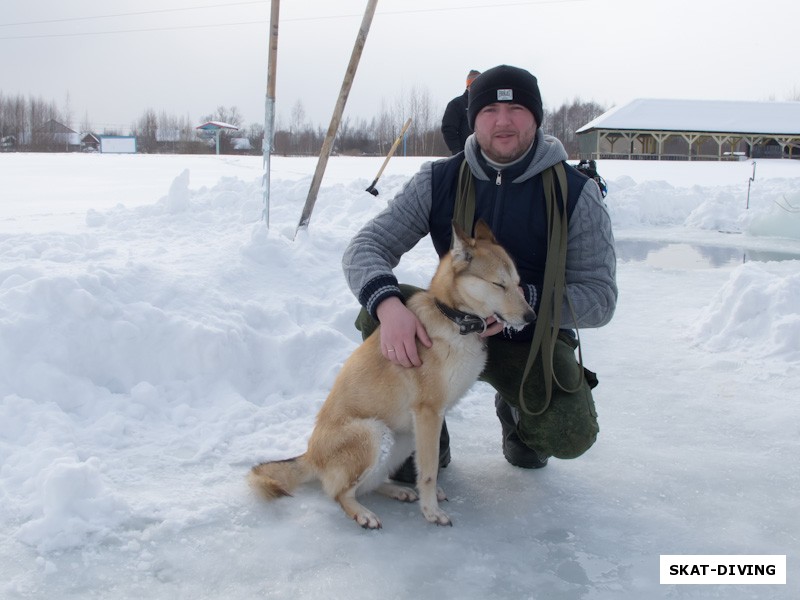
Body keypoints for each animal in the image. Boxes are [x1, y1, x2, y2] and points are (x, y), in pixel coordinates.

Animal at [248, 221, 536, 528]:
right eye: (499, 284)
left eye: (518, 283)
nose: (531, 317)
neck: (452, 319)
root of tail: (311, 456)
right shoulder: (428, 413)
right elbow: (429, 470)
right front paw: (431, 511)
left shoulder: (428, 421)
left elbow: (426, 467)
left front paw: (426, 498)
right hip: (373, 434)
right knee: (339, 493)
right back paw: (362, 513)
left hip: (403, 438)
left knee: (368, 484)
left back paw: (398, 490)